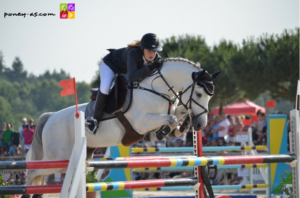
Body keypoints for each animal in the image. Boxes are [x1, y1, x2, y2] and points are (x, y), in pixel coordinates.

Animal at [24, 57, 219, 196]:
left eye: (210, 96)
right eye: (199, 93)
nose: (200, 124)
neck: (157, 89)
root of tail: (50, 117)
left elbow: (177, 115)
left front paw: (183, 126)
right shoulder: (142, 122)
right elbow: (170, 120)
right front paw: (160, 133)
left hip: (77, 157)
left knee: (42, 177)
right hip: (57, 157)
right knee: (32, 172)